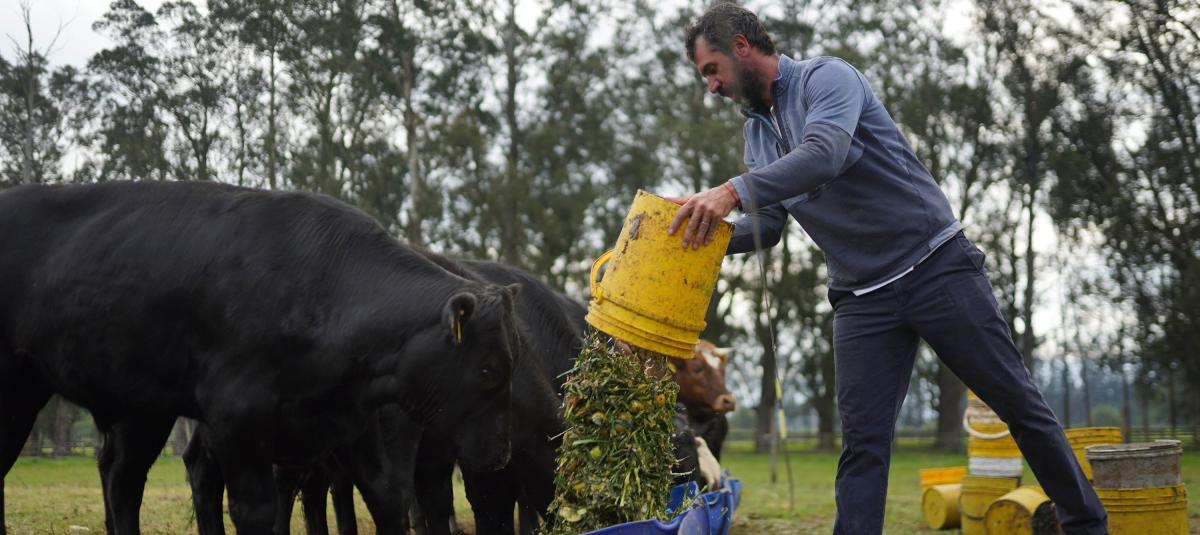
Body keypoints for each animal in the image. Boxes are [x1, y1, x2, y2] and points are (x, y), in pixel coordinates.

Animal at [0, 181, 521, 535]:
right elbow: (256, 511)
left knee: (121, 478)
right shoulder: (239, 419)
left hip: (140, 407)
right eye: (488, 371)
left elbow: (387, 497)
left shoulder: (351, 421)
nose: (502, 455)